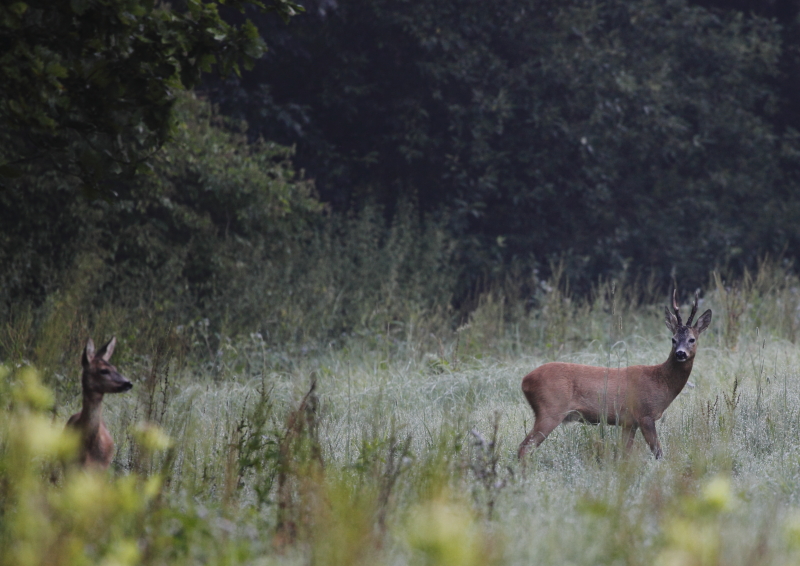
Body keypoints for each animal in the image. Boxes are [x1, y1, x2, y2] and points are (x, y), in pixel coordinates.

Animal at [520, 292, 712, 462]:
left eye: (692, 339)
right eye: (673, 339)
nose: (680, 353)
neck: (660, 381)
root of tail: (525, 381)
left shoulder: (628, 422)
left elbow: (625, 454)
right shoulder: (645, 415)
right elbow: (658, 452)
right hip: (550, 409)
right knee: (524, 447)